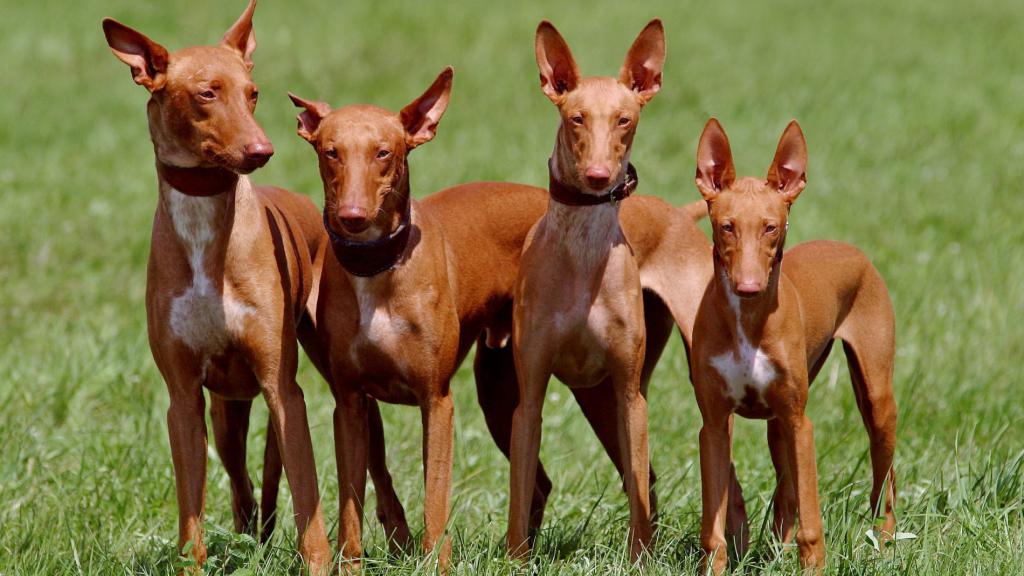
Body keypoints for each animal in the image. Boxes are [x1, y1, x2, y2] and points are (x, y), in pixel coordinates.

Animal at [99, 2, 333, 569]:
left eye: (253, 92)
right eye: (207, 92)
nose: (262, 149)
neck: (206, 230)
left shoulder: (284, 390)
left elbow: (308, 498)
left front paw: (319, 563)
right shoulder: (182, 400)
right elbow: (192, 514)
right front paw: (193, 564)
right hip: (227, 415)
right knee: (243, 488)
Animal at [688, 118, 897, 569]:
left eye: (770, 226)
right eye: (727, 225)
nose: (748, 288)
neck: (748, 324)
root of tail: (849, 248)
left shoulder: (802, 424)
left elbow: (811, 522)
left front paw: (814, 567)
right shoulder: (714, 426)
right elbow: (714, 529)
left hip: (875, 400)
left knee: (885, 480)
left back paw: (885, 541)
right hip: (776, 425)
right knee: (786, 494)